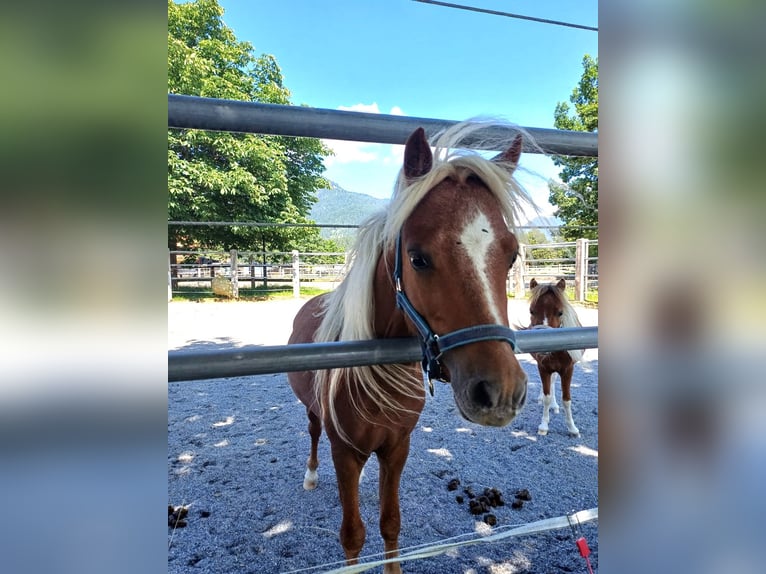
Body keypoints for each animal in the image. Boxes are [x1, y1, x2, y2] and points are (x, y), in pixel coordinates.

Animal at [286, 120, 536, 572]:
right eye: (418, 258)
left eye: (511, 257)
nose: (501, 392)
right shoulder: (345, 451)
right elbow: (353, 535)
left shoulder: (397, 447)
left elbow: (390, 523)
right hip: (315, 415)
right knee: (312, 432)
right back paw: (312, 475)